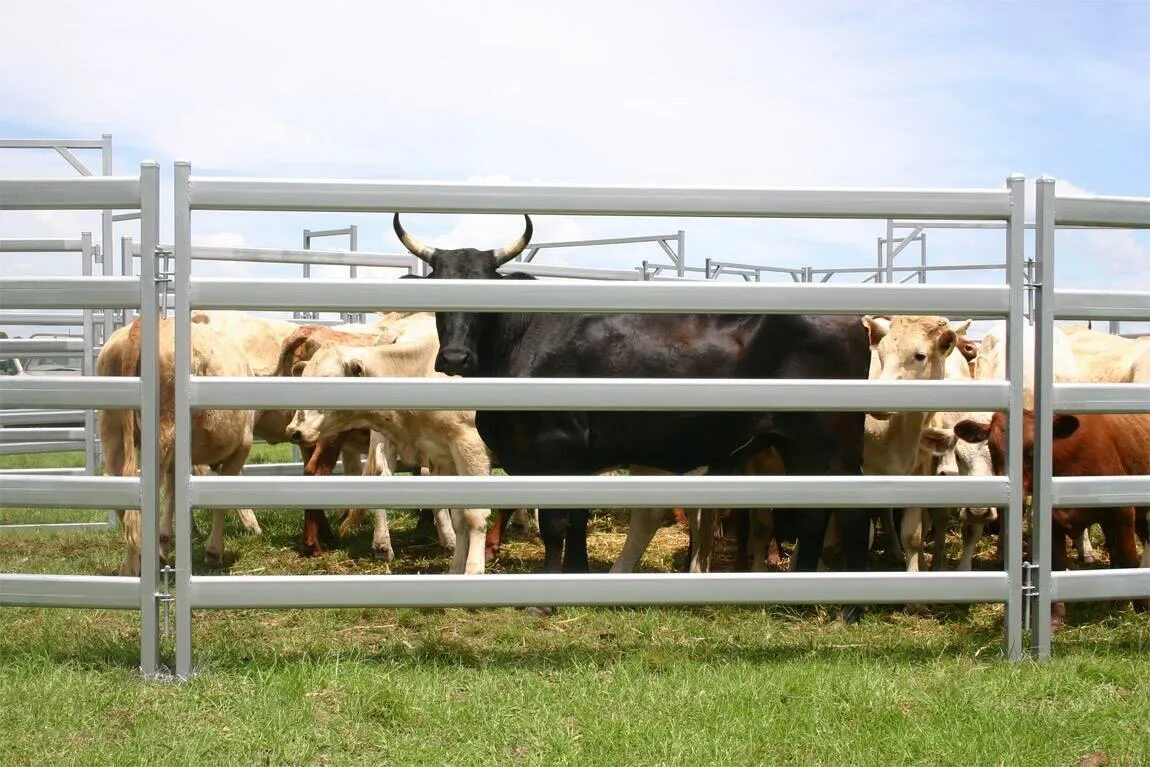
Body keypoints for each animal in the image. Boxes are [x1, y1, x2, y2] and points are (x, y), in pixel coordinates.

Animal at [395, 212, 869, 572]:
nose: (455, 357)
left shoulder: (555, 449)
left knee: (843, 514)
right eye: (437, 289)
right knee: (817, 515)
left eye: (484, 290)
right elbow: (577, 523)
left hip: (828, 445)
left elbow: (556, 524)